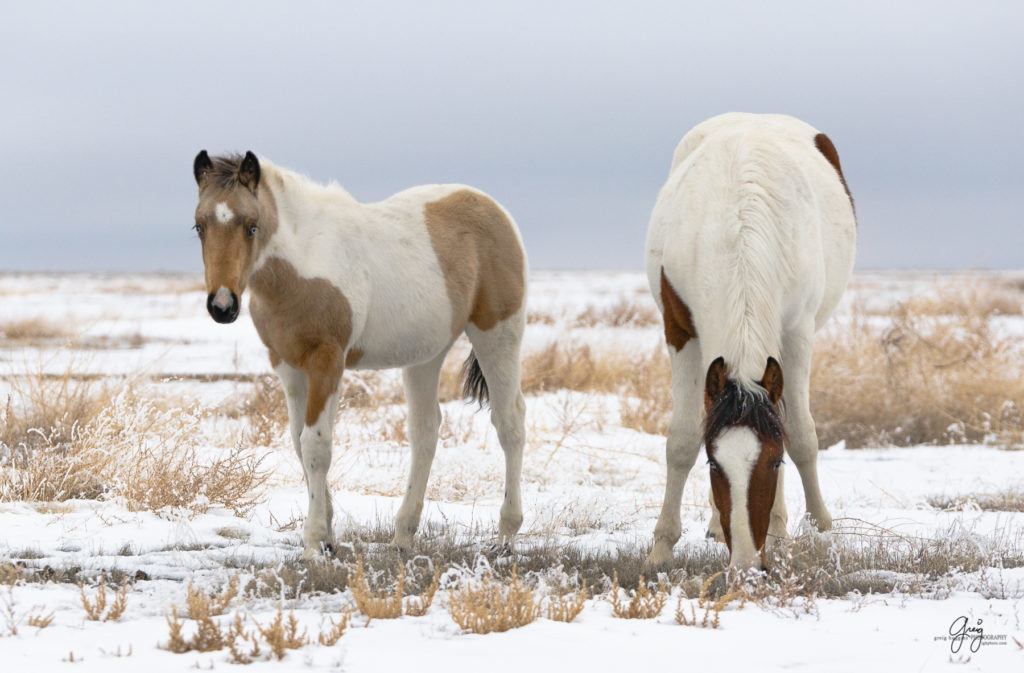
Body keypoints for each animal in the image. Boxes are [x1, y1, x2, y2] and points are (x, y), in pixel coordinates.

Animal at [191, 150, 528, 557]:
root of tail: (494, 209)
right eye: (199, 227)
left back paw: (506, 535)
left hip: (497, 335)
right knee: (425, 431)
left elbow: (316, 446)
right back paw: (402, 537)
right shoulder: (288, 367)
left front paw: (313, 542)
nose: (222, 305)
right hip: (426, 355)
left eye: (251, 226)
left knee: (509, 422)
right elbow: (298, 442)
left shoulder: (327, 361)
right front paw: (328, 539)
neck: (304, 261)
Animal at [647, 112, 856, 569]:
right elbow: (683, 438)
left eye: (774, 463)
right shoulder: (680, 331)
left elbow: (801, 433)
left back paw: (778, 529)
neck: (739, 227)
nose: (745, 564)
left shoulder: (797, 332)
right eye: (713, 465)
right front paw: (661, 547)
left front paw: (819, 526)